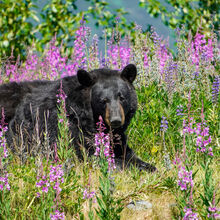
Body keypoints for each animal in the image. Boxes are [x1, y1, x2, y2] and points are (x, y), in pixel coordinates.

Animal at [0, 63, 156, 172]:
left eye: (122, 97)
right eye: (103, 100)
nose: (116, 120)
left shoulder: (116, 137)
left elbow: (124, 151)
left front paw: (148, 166)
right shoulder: (64, 126)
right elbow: (86, 153)